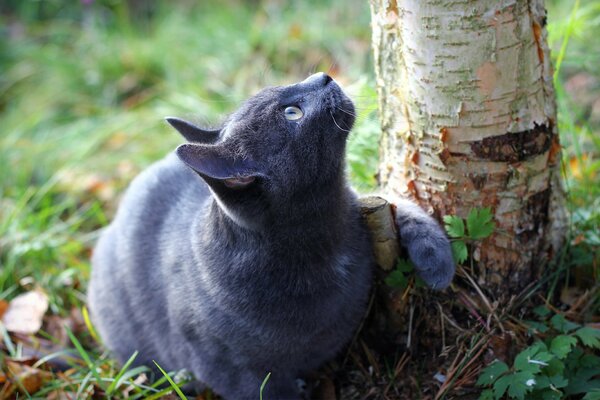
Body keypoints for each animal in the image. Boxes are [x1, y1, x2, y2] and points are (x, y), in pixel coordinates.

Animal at [88, 72, 454, 400]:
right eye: (292, 113)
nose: (322, 76)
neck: (321, 233)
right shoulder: (229, 370)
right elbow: (272, 393)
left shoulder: (356, 204)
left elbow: (399, 203)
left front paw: (437, 264)